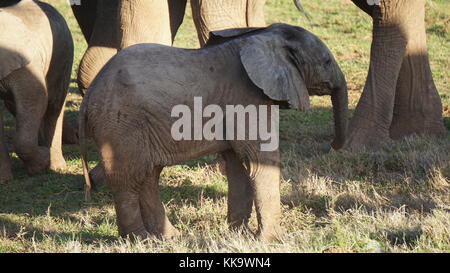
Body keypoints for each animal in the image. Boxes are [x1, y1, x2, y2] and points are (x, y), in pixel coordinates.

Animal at [0, 0, 73, 181]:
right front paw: (4, 180)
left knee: (53, 106)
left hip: (63, 55)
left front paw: (41, 165)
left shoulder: (26, 65)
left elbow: (36, 98)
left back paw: (56, 167)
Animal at [81, 23, 348, 240]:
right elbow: (260, 160)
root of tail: (88, 97)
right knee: (128, 179)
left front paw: (240, 236)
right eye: (326, 62)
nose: (334, 145)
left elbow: (238, 166)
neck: (261, 36)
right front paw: (272, 241)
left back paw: (169, 238)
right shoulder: (247, 98)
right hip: (121, 125)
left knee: (148, 176)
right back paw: (140, 239)